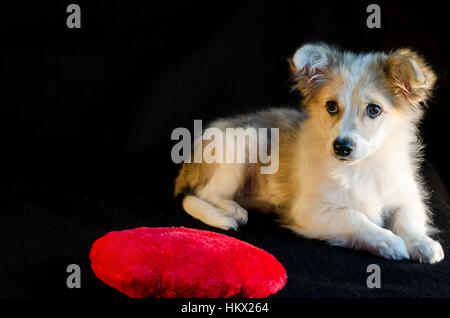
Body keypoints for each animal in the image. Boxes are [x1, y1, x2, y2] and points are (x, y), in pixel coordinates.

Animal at [174, 42, 444, 264]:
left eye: (374, 110)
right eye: (331, 106)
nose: (341, 147)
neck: (363, 166)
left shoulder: (406, 199)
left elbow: (408, 221)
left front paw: (423, 243)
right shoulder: (312, 211)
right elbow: (356, 219)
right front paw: (388, 241)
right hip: (244, 143)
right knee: (203, 193)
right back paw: (231, 210)